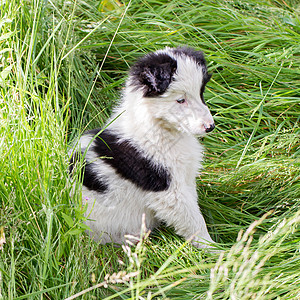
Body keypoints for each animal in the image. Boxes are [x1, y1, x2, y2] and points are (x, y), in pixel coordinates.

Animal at [69, 46, 216, 248]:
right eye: (180, 100)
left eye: (201, 92)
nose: (211, 126)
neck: (160, 130)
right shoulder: (169, 190)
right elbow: (194, 221)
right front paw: (216, 249)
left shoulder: (185, 179)